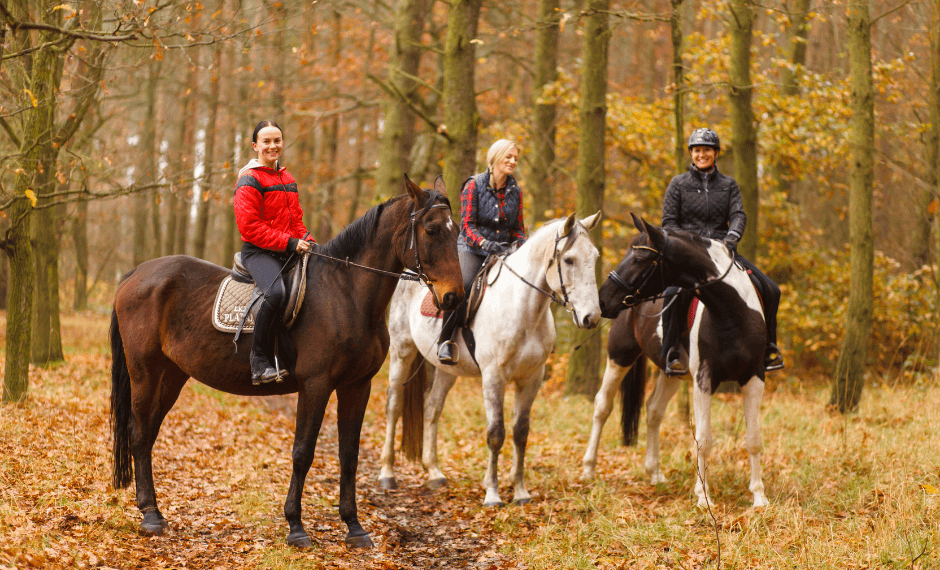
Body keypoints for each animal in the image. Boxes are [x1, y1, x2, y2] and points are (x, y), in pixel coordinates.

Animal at [110, 174, 462, 544]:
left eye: (455, 230)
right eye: (431, 230)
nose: (454, 297)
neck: (346, 294)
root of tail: (135, 273)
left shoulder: (357, 386)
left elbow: (349, 455)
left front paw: (354, 526)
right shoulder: (316, 385)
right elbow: (302, 452)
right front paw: (295, 526)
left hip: (172, 375)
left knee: (147, 434)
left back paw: (155, 511)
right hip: (145, 372)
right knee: (138, 434)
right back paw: (150, 516)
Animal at [378, 214, 600, 506]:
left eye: (595, 257)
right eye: (569, 260)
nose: (591, 318)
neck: (523, 309)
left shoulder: (531, 378)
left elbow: (520, 433)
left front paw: (520, 492)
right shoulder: (494, 377)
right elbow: (496, 434)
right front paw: (493, 494)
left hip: (446, 369)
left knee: (432, 408)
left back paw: (435, 473)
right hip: (402, 350)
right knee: (393, 404)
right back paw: (387, 474)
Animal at [580, 213, 772, 506]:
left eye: (639, 259)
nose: (601, 301)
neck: (731, 313)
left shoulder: (754, 378)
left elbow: (754, 438)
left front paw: (759, 497)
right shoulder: (704, 380)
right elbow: (703, 439)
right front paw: (703, 497)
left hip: (670, 372)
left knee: (653, 411)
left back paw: (655, 473)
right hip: (620, 356)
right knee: (602, 405)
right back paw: (589, 469)